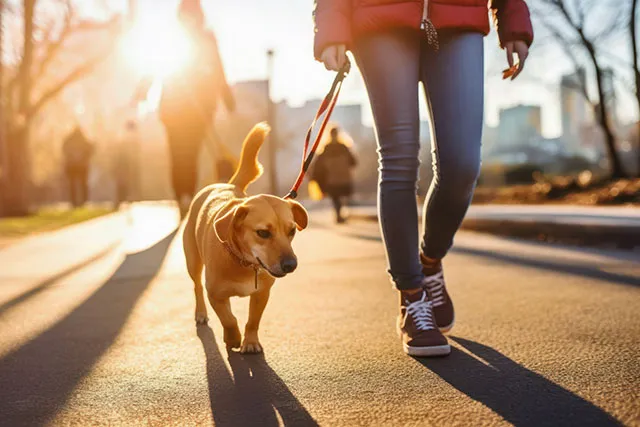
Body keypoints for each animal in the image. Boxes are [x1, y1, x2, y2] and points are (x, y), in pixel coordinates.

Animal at [182, 122, 308, 352]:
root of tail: (226, 184)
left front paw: (249, 342)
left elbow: (252, 321)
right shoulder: (215, 294)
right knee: (196, 287)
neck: (243, 262)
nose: (290, 265)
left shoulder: (261, 294)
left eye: (292, 231)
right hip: (192, 262)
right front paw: (232, 338)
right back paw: (201, 313)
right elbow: (229, 319)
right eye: (263, 233)